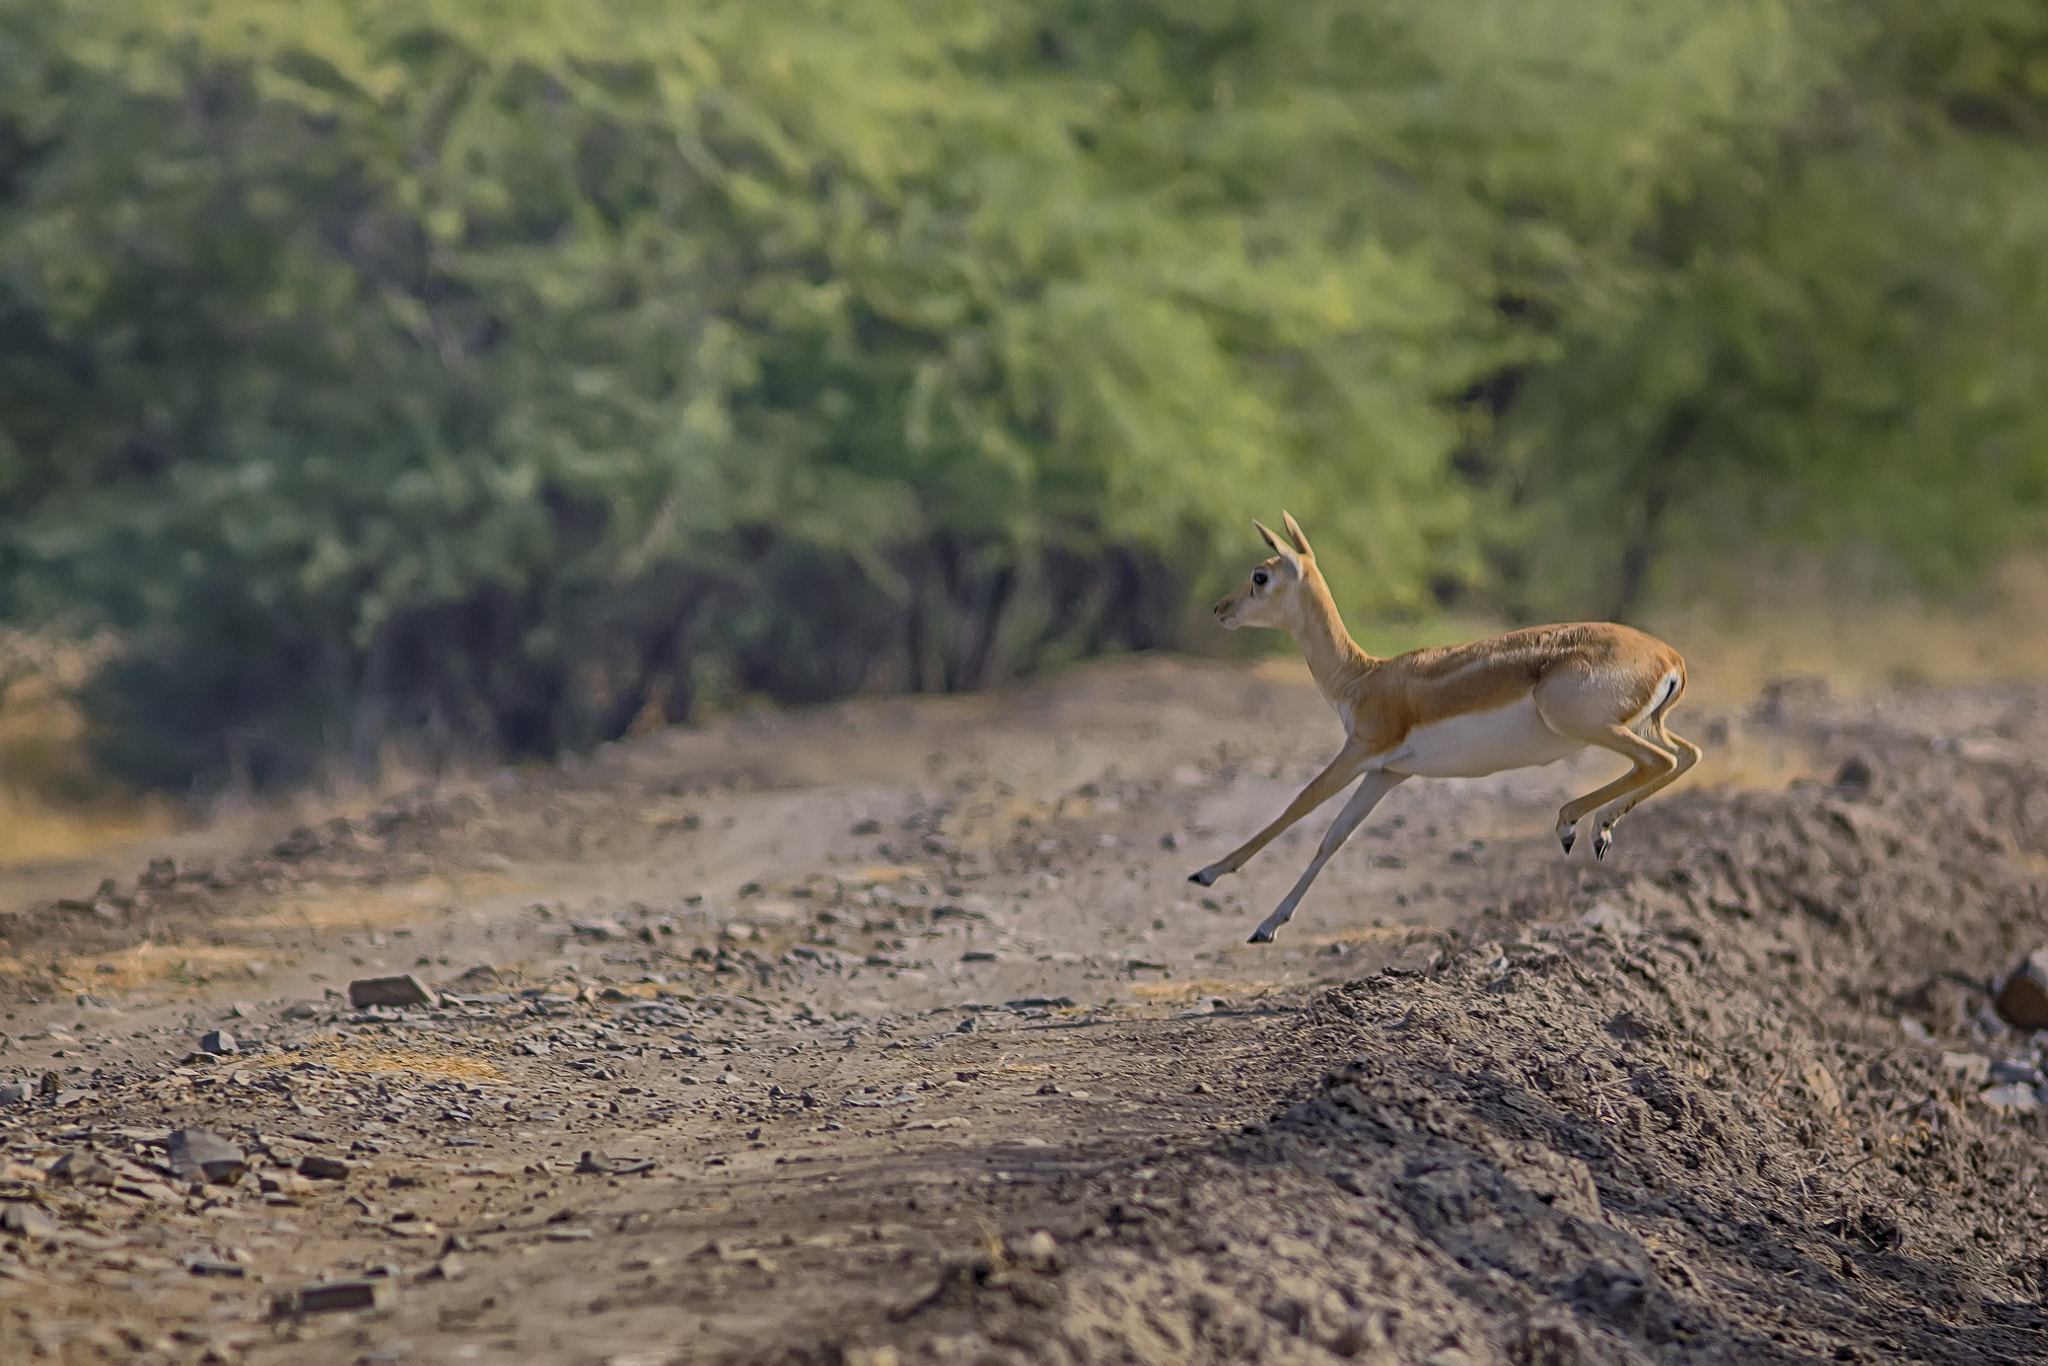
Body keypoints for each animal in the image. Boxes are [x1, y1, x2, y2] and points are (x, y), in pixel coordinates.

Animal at [1187, 509, 1695, 942]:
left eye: (1260, 575)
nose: (1219, 608)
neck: (1362, 678)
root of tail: (1670, 658)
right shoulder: (1387, 772)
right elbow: (1334, 837)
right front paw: (1267, 926)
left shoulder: (1360, 750)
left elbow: (1298, 804)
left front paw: (1206, 873)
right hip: (1642, 724)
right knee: (1686, 754)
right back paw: (1595, 831)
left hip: (1587, 723)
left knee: (1660, 761)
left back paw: (1573, 825)